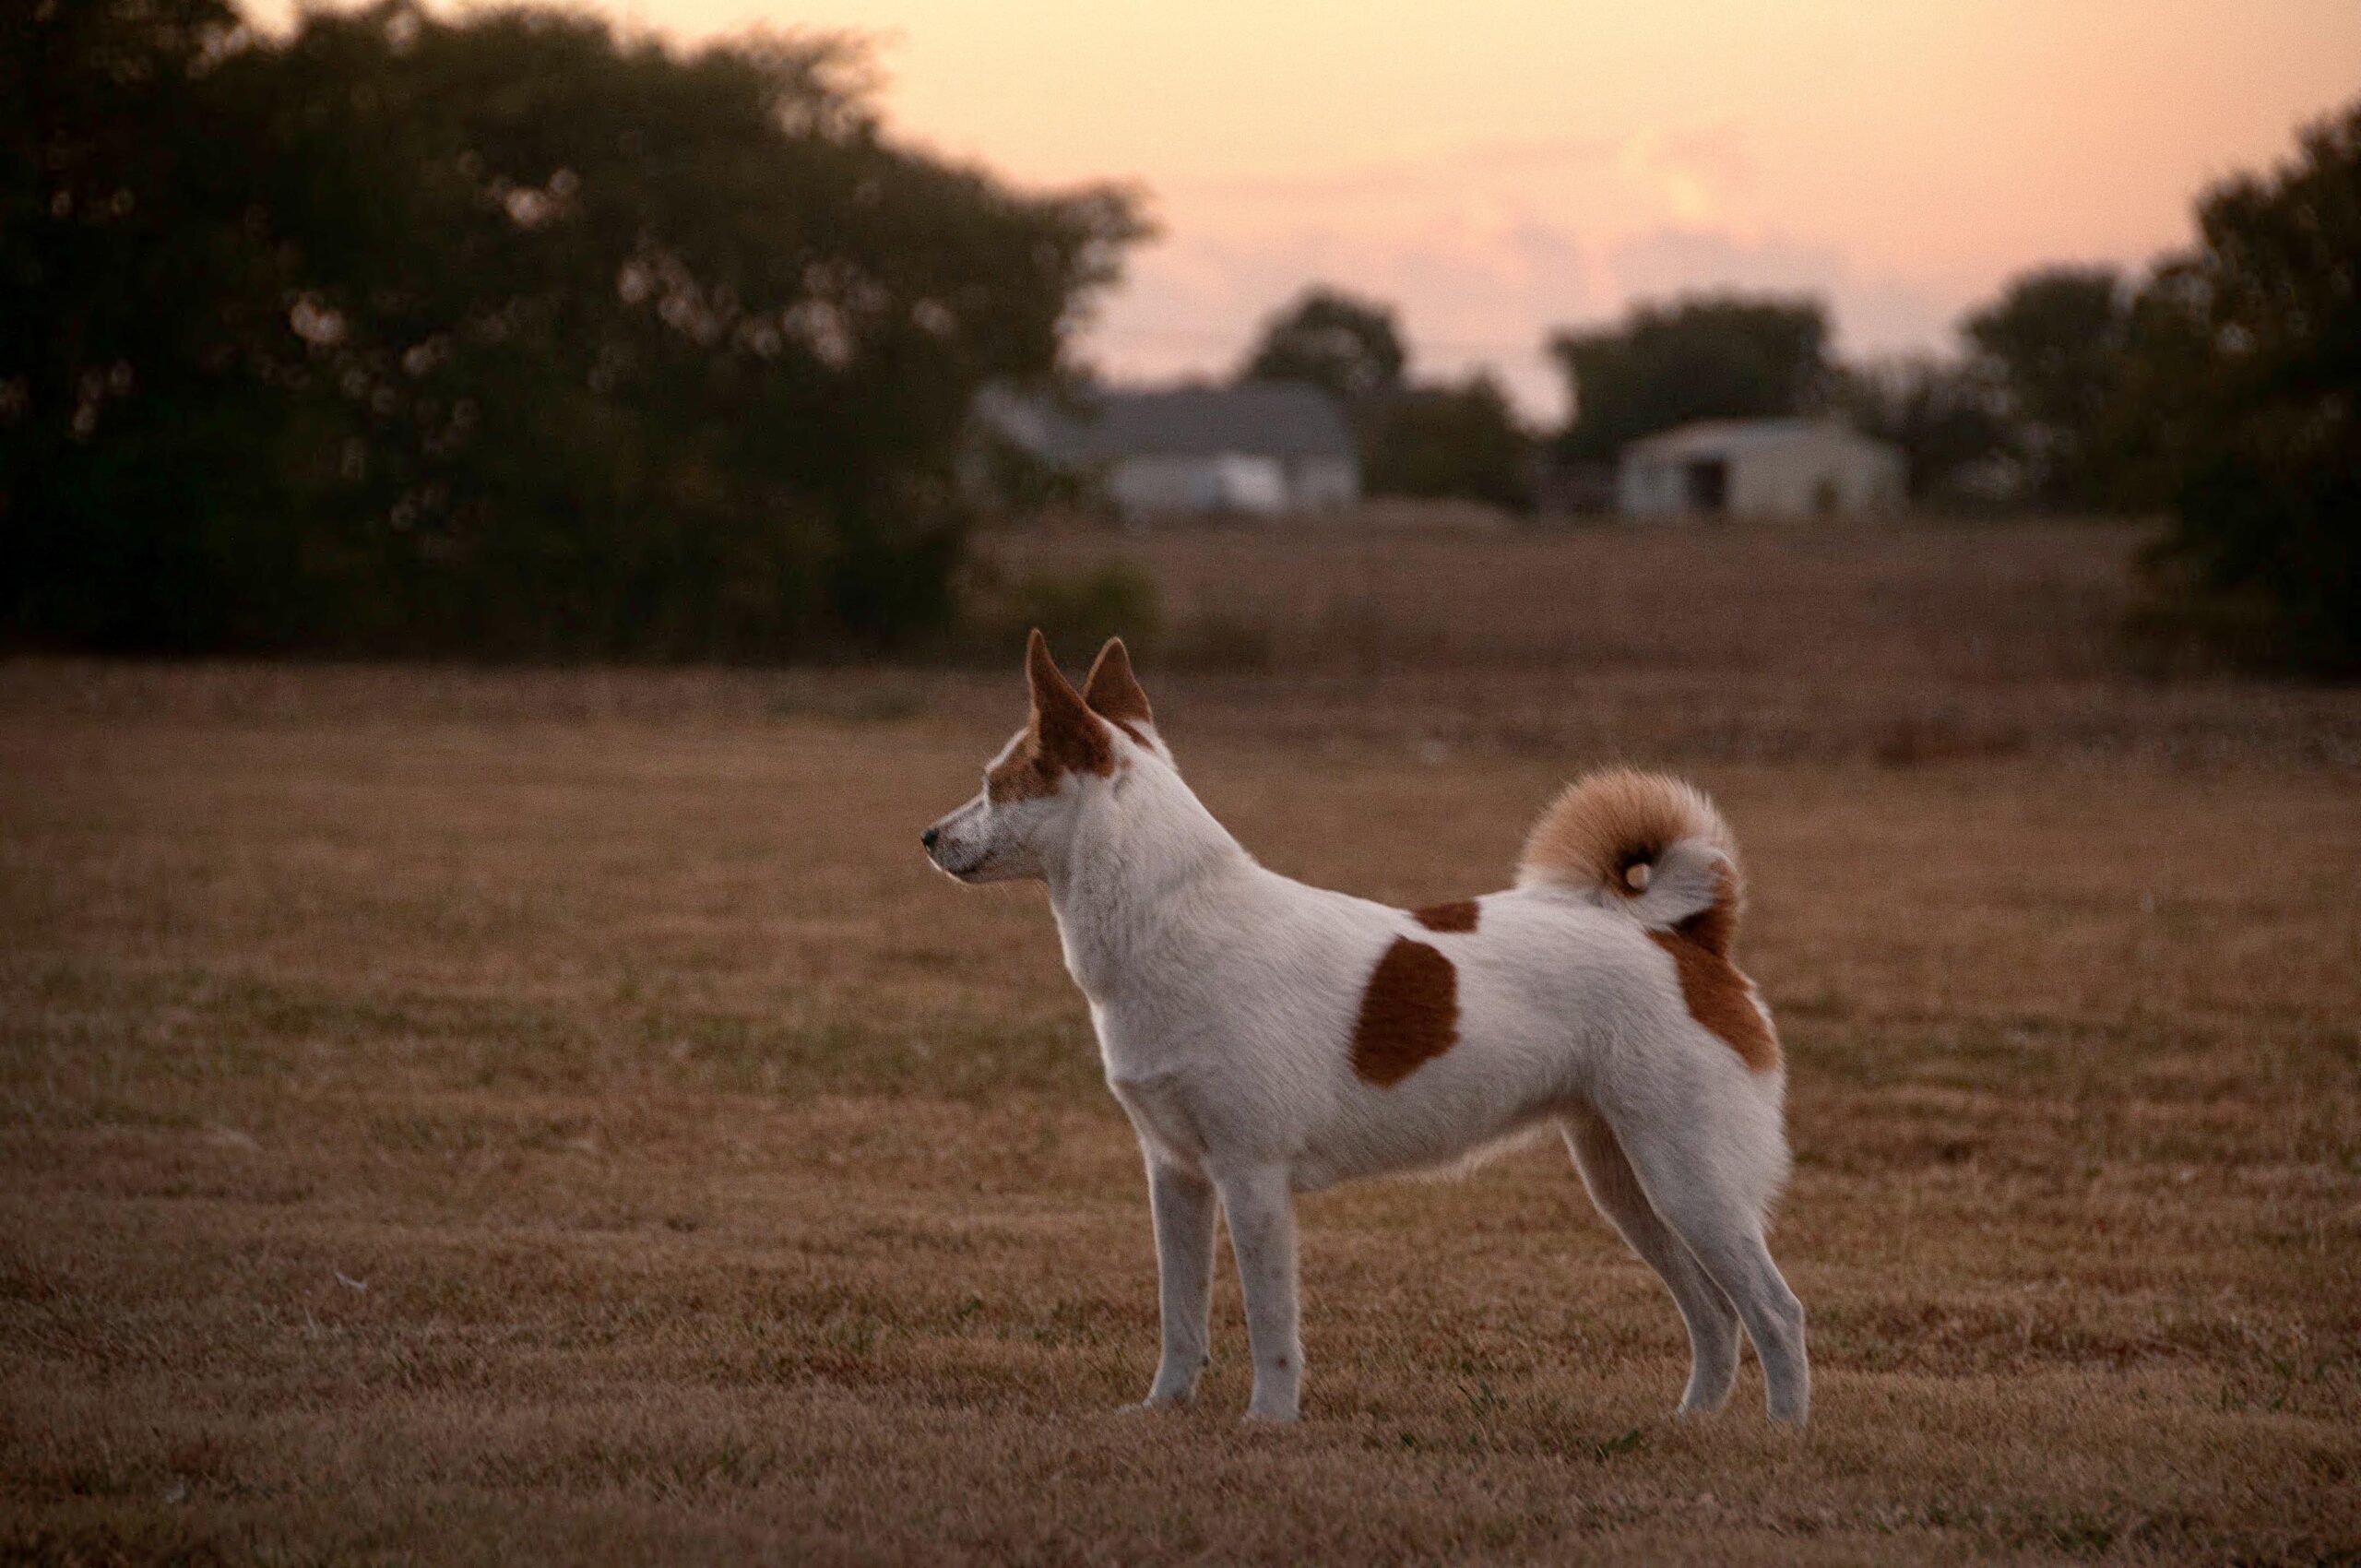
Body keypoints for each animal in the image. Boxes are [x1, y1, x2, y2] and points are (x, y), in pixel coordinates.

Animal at [920, 633, 1803, 1426]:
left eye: (995, 784)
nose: (927, 836)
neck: (1171, 916)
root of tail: (1686, 942)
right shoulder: (1175, 1175)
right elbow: (1181, 1316)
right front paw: (1162, 1411)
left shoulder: (1252, 1179)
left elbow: (1271, 1325)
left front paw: (1267, 1424)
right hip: (1631, 1185)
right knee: (1714, 1313)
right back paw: (1689, 1425)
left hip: (1691, 1181)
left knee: (1774, 1310)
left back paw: (1782, 1435)